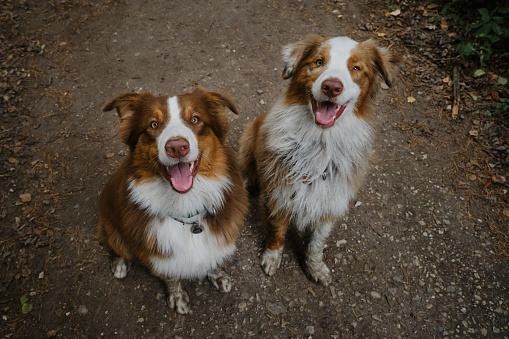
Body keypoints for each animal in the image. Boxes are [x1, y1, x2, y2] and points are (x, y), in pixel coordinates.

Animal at [97, 87, 248, 314]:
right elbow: (170, 275)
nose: (177, 147)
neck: (186, 205)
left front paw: (216, 274)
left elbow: (211, 258)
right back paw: (120, 263)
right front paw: (177, 296)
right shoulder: (157, 253)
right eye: (153, 124)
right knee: (115, 244)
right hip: (111, 223)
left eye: (195, 119)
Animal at [240, 35, 398, 284]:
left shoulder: (329, 201)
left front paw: (315, 268)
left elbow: (317, 243)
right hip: (248, 137)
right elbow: (277, 232)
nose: (331, 86)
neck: (321, 144)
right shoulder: (279, 195)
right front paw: (272, 257)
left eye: (356, 68)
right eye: (319, 61)